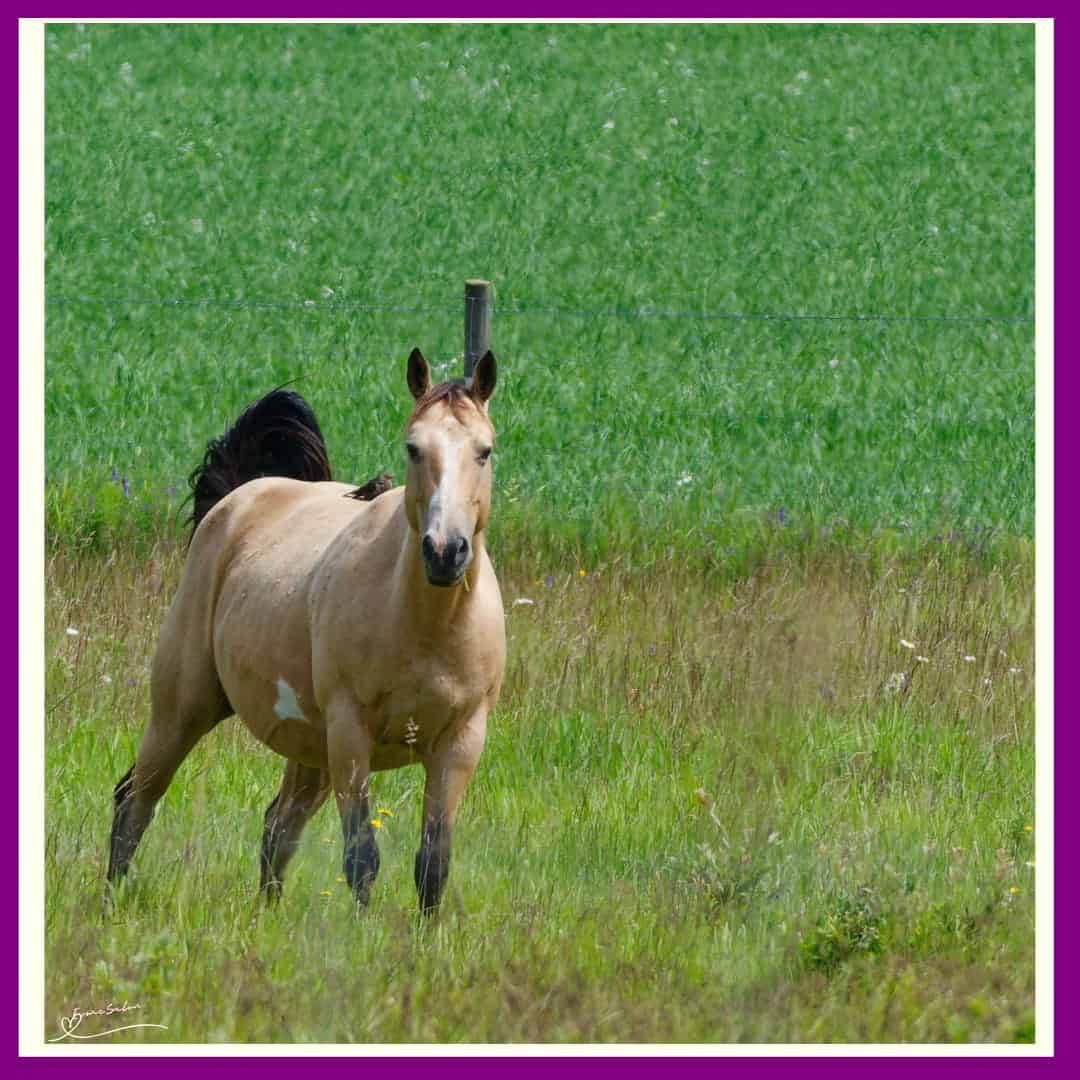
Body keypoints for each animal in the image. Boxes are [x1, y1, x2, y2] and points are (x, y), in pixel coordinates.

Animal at [107, 349, 506, 914]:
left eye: (484, 451)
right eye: (414, 448)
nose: (444, 551)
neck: (426, 625)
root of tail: (239, 498)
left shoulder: (461, 742)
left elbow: (433, 865)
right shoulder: (349, 731)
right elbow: (361, 858)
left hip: (309, 751)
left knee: (278, 826)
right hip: (183, 711)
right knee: (134, 800)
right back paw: (110, 902)